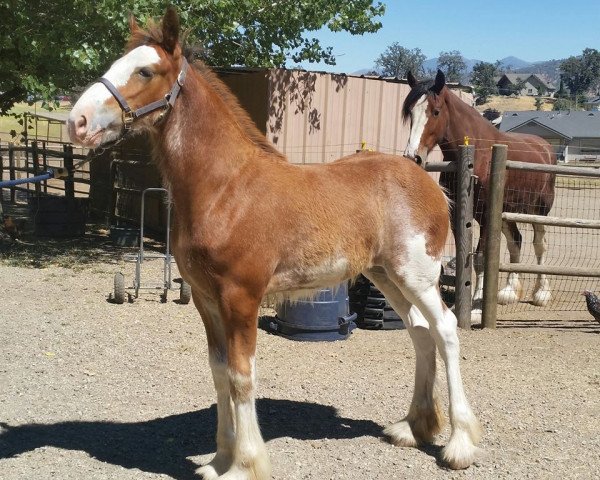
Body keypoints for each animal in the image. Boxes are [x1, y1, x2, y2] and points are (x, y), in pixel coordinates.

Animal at [68, 8, 480, 480]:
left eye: (145, 70)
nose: (76, 122)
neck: (226, 189)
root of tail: (427, 180)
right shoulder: (206, 300)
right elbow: (219, 372)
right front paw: (219, 460)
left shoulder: (241, 297)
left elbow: (242, 375)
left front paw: (245, 463)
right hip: (386, 274)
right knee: (419, 332)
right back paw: (414, 427)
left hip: (417, 274)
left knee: (445, 330)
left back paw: (459, 444)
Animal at [406, 70, 556, 318]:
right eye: (410, 112)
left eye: (435, 111)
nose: (413, 157)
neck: (476, 153)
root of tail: (545, 147)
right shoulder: (459, 215)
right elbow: (464, 255)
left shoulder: (485, 216)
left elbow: (480, 258)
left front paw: (475, 307)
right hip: (505, 213)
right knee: (516, 241)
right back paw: (509, 292)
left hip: (539, 211)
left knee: (540, 244)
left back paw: (541, 293)